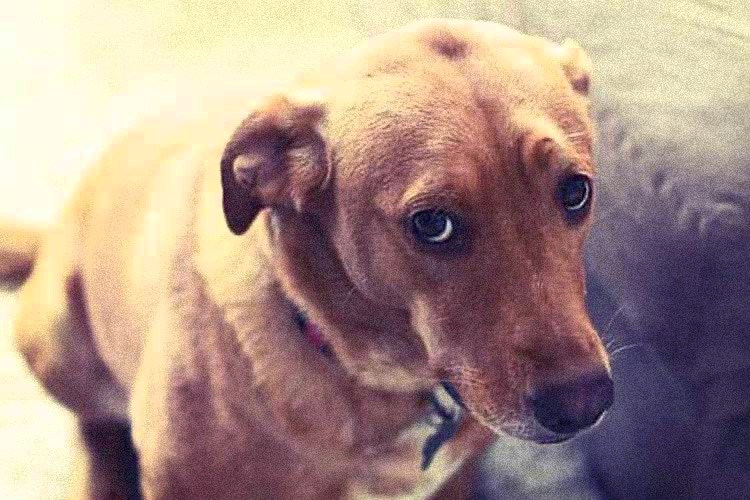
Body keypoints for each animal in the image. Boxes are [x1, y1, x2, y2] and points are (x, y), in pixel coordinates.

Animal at [0, 19, 612, 499]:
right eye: (432, 224)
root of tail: (54, 232)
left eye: (575, 192)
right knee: (94, 428)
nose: (585, 405)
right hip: (57, 339)